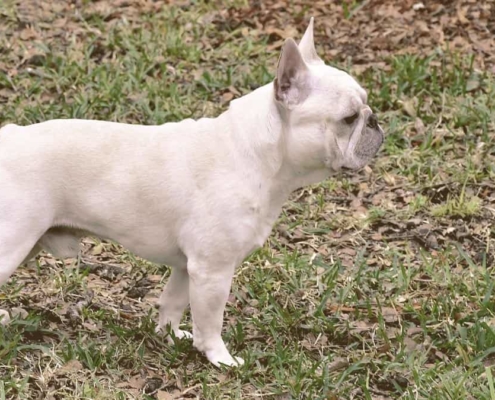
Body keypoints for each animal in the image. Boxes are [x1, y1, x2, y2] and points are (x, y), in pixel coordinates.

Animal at [0, 20, 384, 368]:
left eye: (365, 108)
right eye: (349, 118)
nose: (375, 120)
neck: (253, 154)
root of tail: (9, 137)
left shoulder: (188, 268)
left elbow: (173, 304)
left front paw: (170, 336)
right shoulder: (213, 270)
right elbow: (210, 320)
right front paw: (220, 358)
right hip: (13, 243)